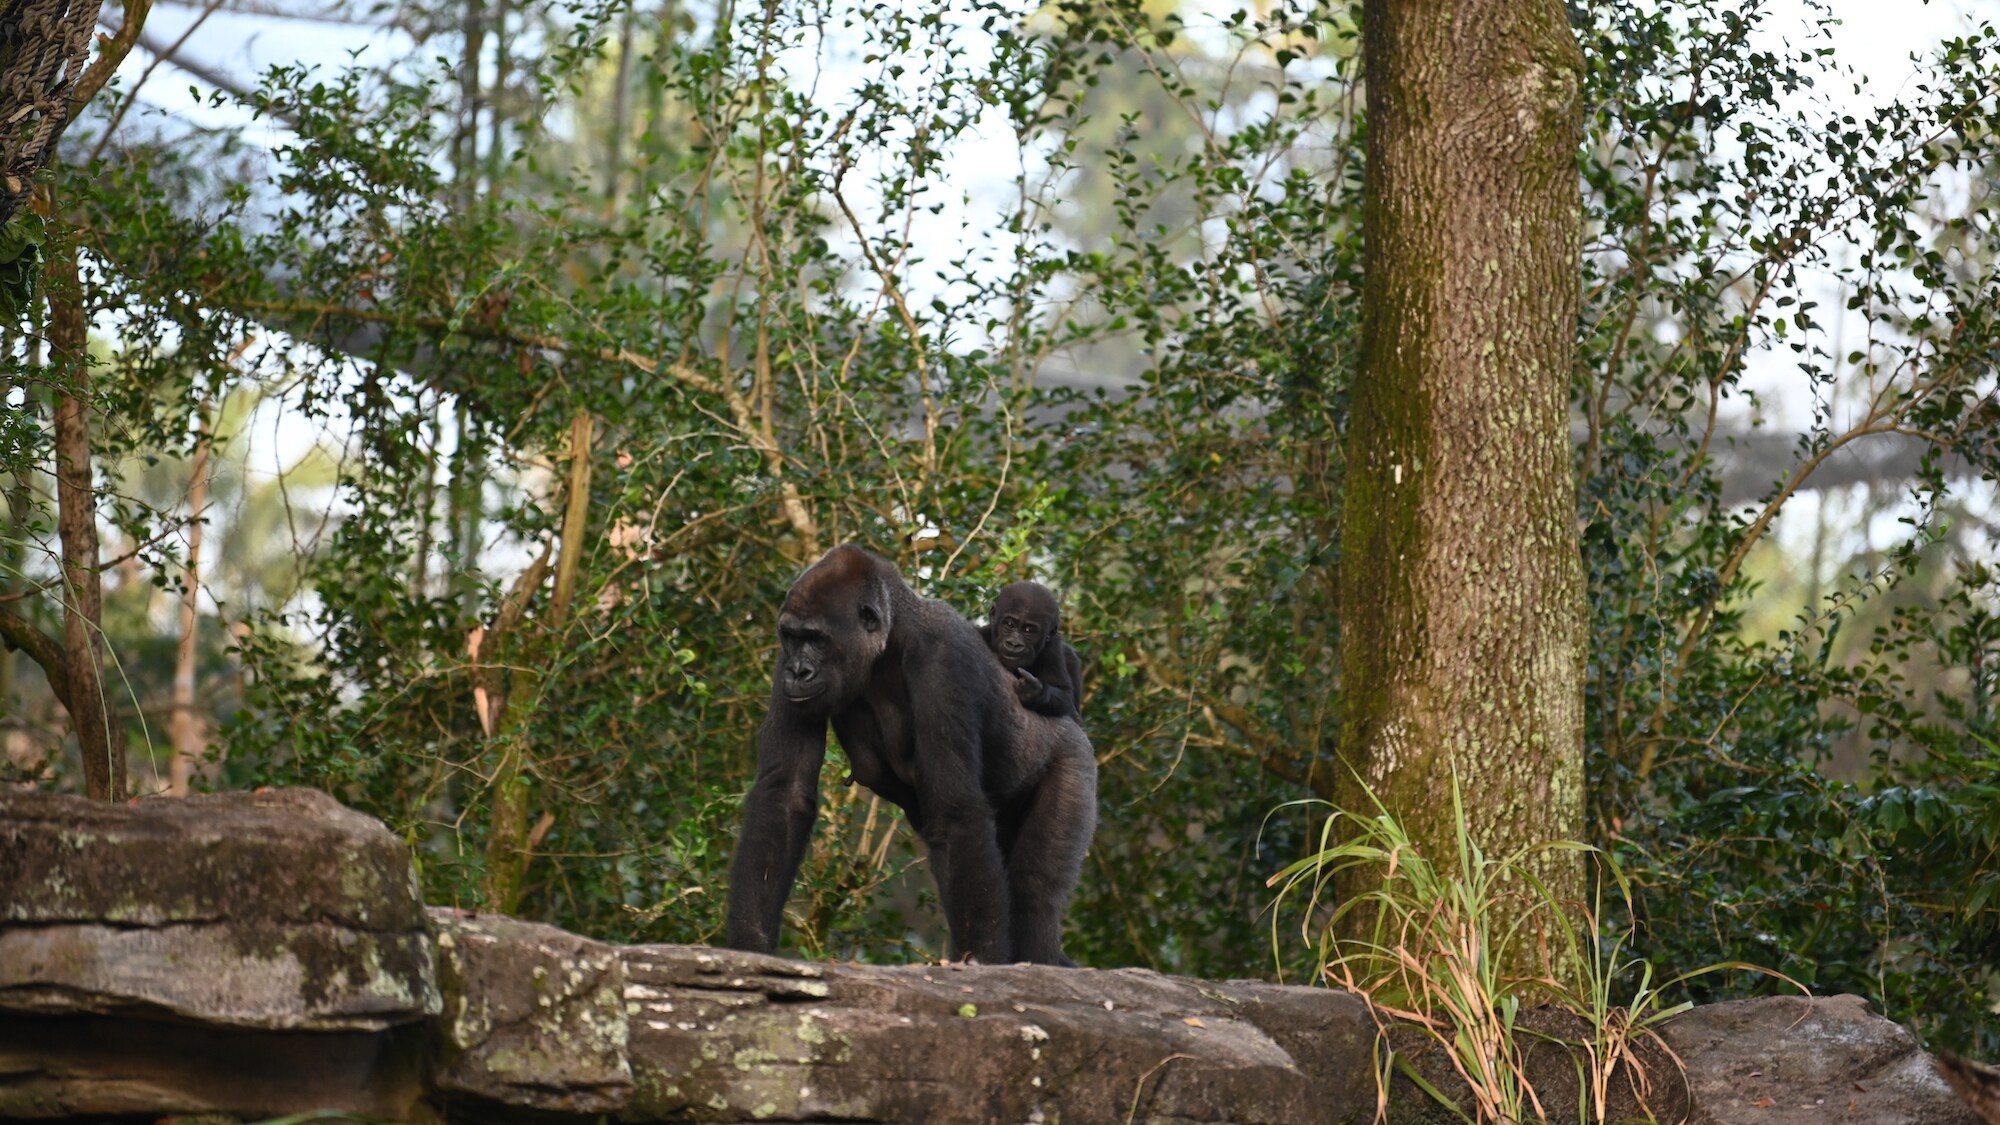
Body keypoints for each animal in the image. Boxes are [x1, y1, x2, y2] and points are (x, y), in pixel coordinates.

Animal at [980, 576, 1088, 716]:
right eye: (1009, 624)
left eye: (1028, 630)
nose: (1014, 644)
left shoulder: (1052, 648)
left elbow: (1065, 696)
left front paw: (1033, 692)